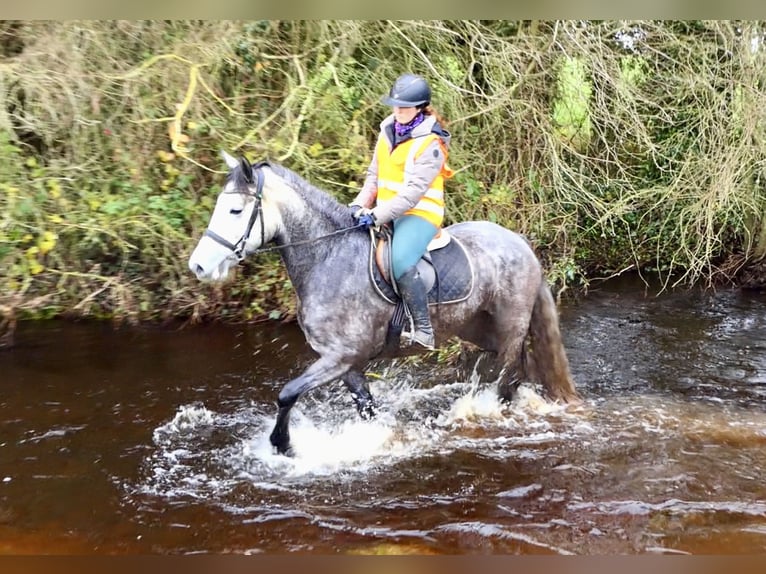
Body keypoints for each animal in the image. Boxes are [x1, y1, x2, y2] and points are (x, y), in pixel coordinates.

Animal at [188, 152, 580, 456]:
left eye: (235, 210)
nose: (199, 266)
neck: (328, 256)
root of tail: (519, 242)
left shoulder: (340, 356)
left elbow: (287, 394)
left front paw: (282, 444)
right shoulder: (345, 362)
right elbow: (365, 406)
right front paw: (375, 438)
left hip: (510, 327)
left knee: (508, 378)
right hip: (480, 328)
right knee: (523, 369)